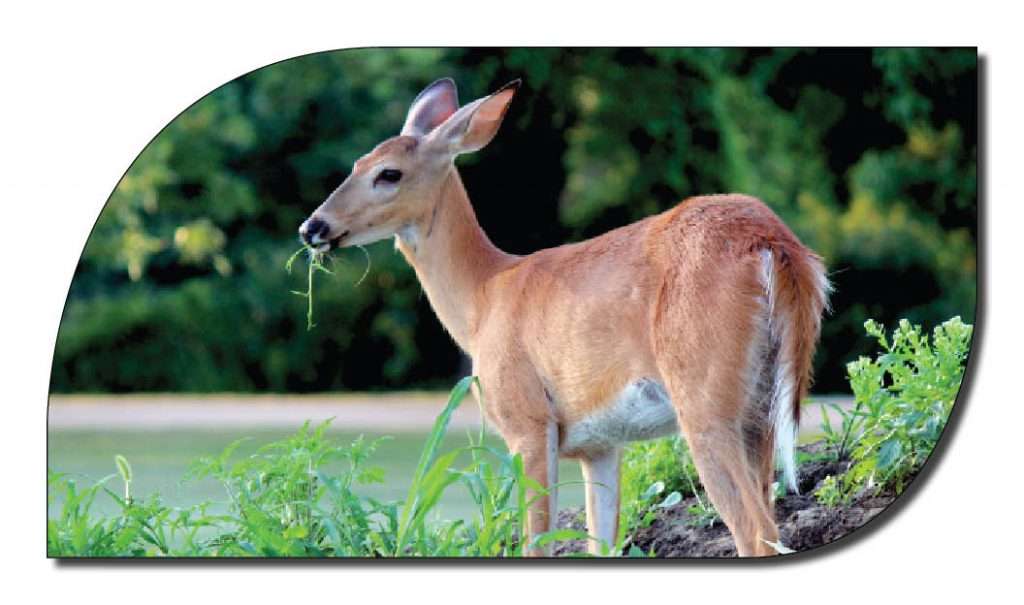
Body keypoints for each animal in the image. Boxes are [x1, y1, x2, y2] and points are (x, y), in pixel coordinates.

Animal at [299, 78, 829, 557]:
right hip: (762, 402)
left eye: (388, 173)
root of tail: (772, 242)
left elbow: (536, 542)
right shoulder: (601, 444)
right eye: (356, 163)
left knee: (754, 531)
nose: (312, 227)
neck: (482, 300)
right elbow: (602, 543)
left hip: (703, 394)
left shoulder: (528, 421)